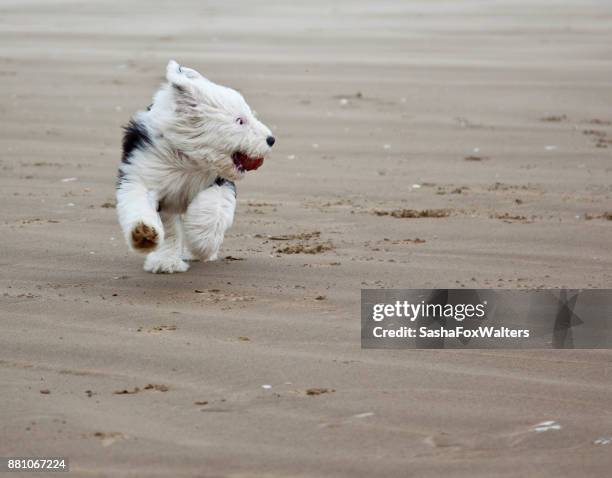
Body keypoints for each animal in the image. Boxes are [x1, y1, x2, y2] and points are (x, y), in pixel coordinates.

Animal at [117, 60, 274, 272]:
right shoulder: (142, 173)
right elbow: (138, 202)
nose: (271, 139)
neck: (187, 159)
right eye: (240, 120)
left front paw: (203, 242)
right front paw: (143, 234)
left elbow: (212, 207)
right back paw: (166, 262)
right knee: (170, 227)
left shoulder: (219, 181)